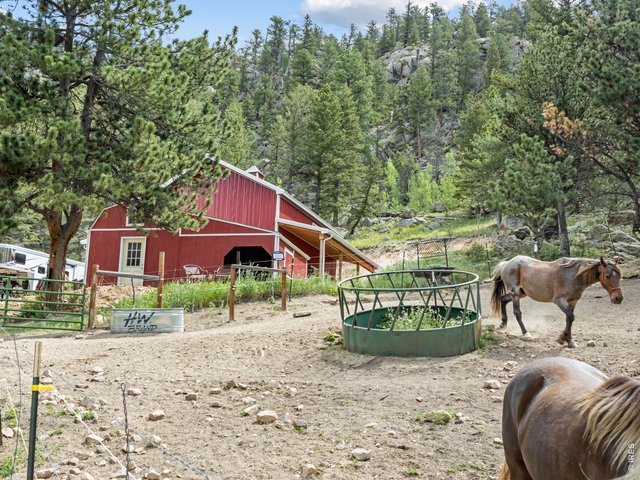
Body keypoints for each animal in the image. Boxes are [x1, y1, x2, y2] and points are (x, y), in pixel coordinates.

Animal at [491, 255, 623, 348]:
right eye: (607, 275)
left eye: (620, 275)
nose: (618, 298)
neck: (573, 276)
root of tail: (506, 263)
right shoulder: (559, 301)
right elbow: (570, 317)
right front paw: (563, 338)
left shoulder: (573, 301)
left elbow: (569, 319)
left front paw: (569, 341)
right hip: (516, 294)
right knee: (517, 313)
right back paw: (526, 334)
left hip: (521, 294)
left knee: (502, 300)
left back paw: (503, 324)